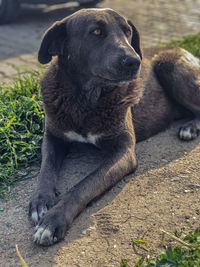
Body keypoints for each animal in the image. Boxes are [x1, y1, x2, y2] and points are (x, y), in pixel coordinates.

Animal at [28, 7, 200, 247]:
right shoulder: (53, 136)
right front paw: (41, 201)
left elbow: (84, 185)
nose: (134, 61)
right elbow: (46, 169)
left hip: (170, 66)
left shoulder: (124, 151)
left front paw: (53, 220)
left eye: (128, 31)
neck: (85, 100)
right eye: (96, 32)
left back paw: (190, 127)